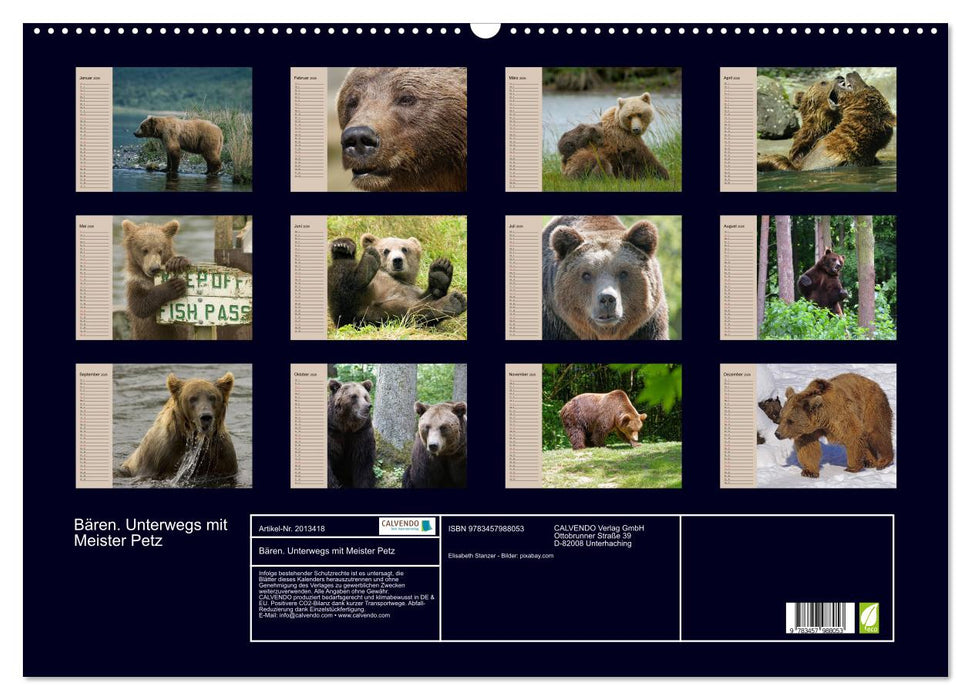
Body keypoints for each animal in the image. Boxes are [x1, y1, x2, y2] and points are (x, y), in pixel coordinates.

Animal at [327, 238, 466, 327]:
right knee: (341, 273)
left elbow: (428, 297)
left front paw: (440, 272)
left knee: (410, 313)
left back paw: (452, 301)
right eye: (386, 250)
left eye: (405, 249)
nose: (397, 260)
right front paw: (342, 245)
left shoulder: (410, 290)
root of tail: (362, 308)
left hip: (381, 314)